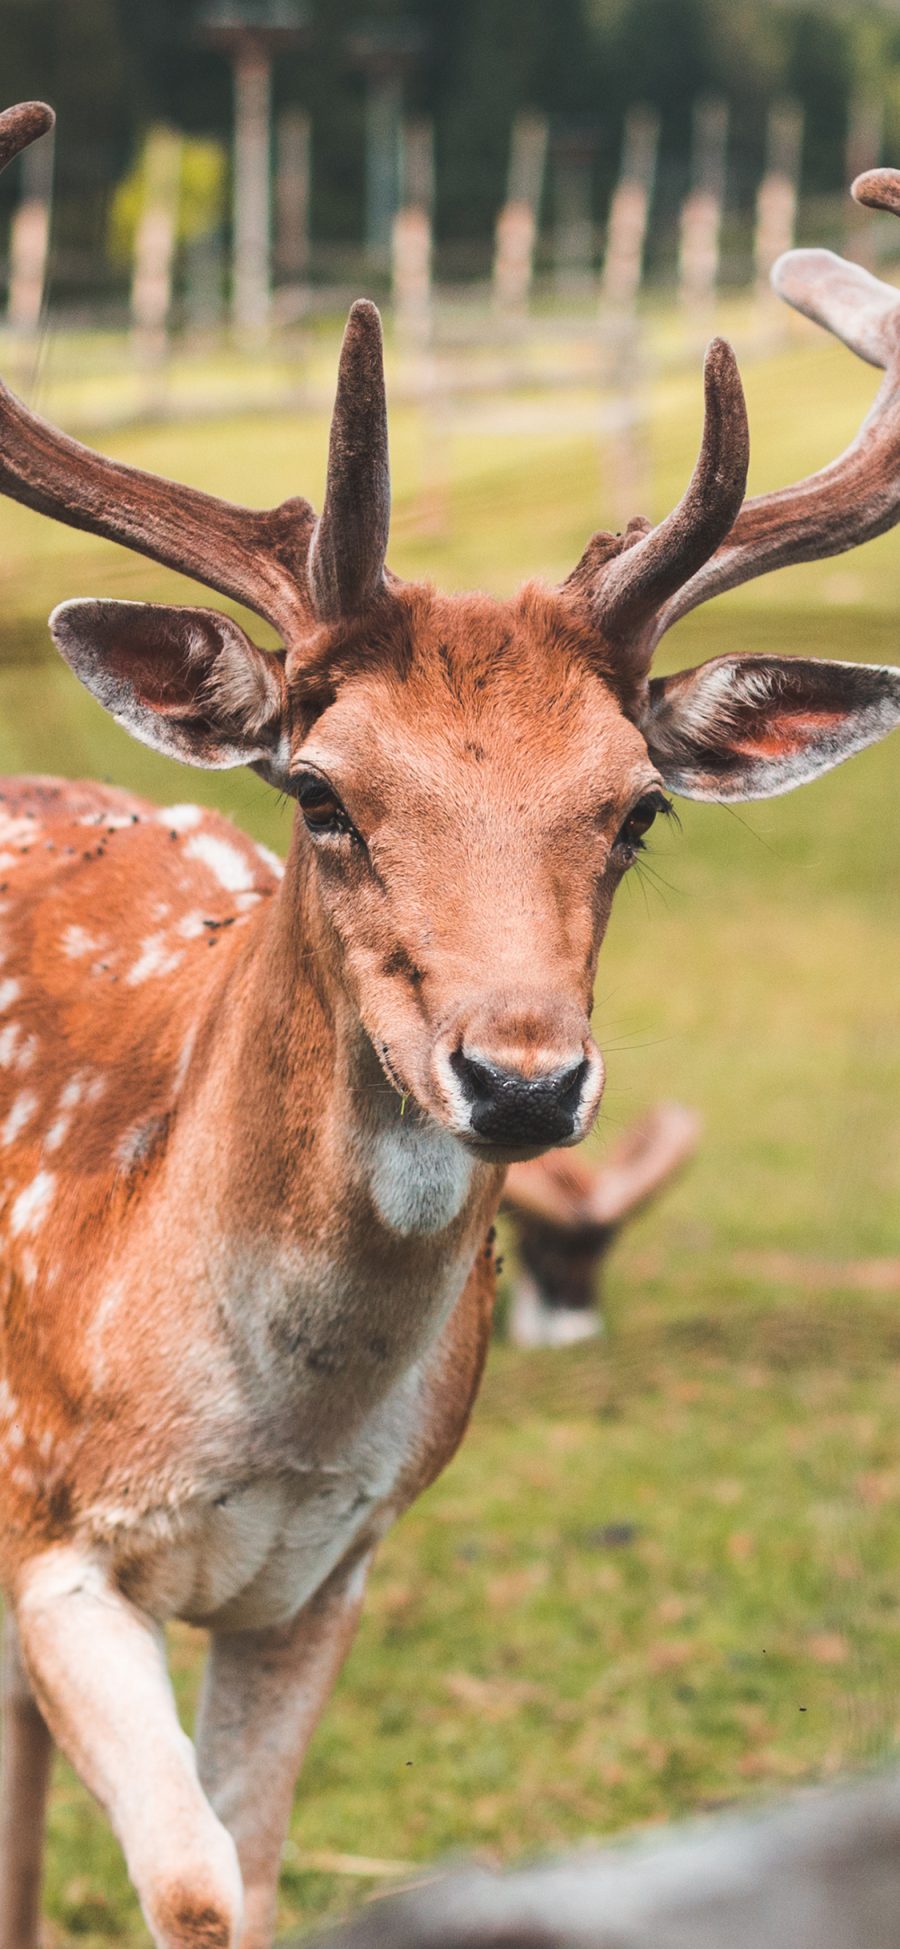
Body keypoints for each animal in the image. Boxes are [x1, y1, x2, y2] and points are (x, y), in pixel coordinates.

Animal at [1, 102, 900, 1949]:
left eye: (636, 810)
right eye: (321, 792)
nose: (525, 1076)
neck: (254, 1431)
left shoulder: (328, 1569)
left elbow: (247, 1866)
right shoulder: (44, 1525)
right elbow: (191, 1886)